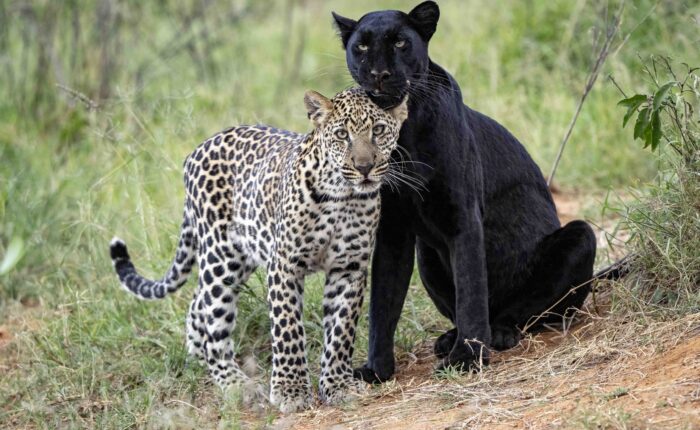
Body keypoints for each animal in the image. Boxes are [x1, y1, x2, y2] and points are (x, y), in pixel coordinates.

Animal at [108, 87, 408, 412]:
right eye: (342, 134)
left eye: (378, 130)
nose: (364, 167)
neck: (343, 197)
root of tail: (196, 151)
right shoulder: (284, 264)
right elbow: (288, 328)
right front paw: (291, 391)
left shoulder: (349, 267)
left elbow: (341, 331)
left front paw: (338, 385)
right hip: (221, 257)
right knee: (213, 319)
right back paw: (235, 383)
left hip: (241, 257)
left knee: (197, 303)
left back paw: (198, 356)